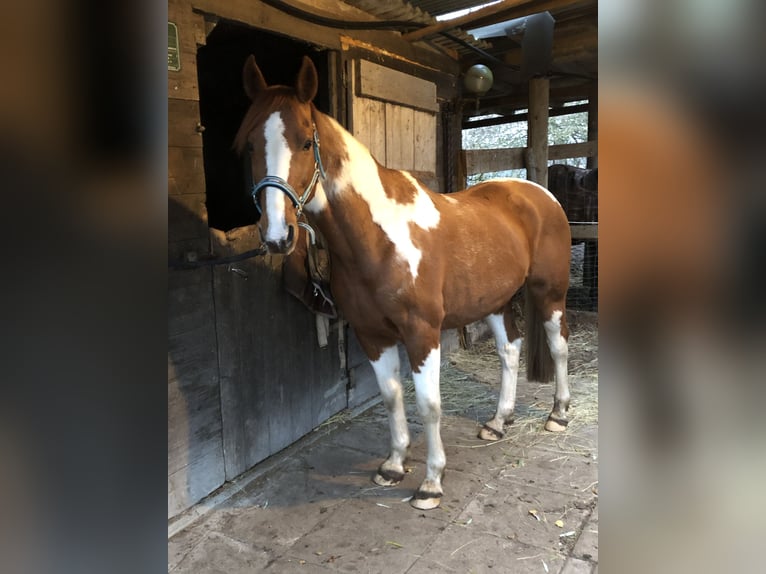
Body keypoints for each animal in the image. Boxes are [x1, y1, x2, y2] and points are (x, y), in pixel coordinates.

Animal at [237, 56, 572, 510]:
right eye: (249, 145)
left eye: (307, 143)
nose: (277, 235)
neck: (379, 239)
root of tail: (537, 192)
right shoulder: (372, 335)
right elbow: (392, 396)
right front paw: (394, 466)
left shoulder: (422, 333)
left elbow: (428, 405)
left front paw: (431, 483)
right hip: (495, 300)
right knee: (509, 350)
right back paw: (498, 422)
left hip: (549, 292)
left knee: (558, 345)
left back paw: (558, 414)